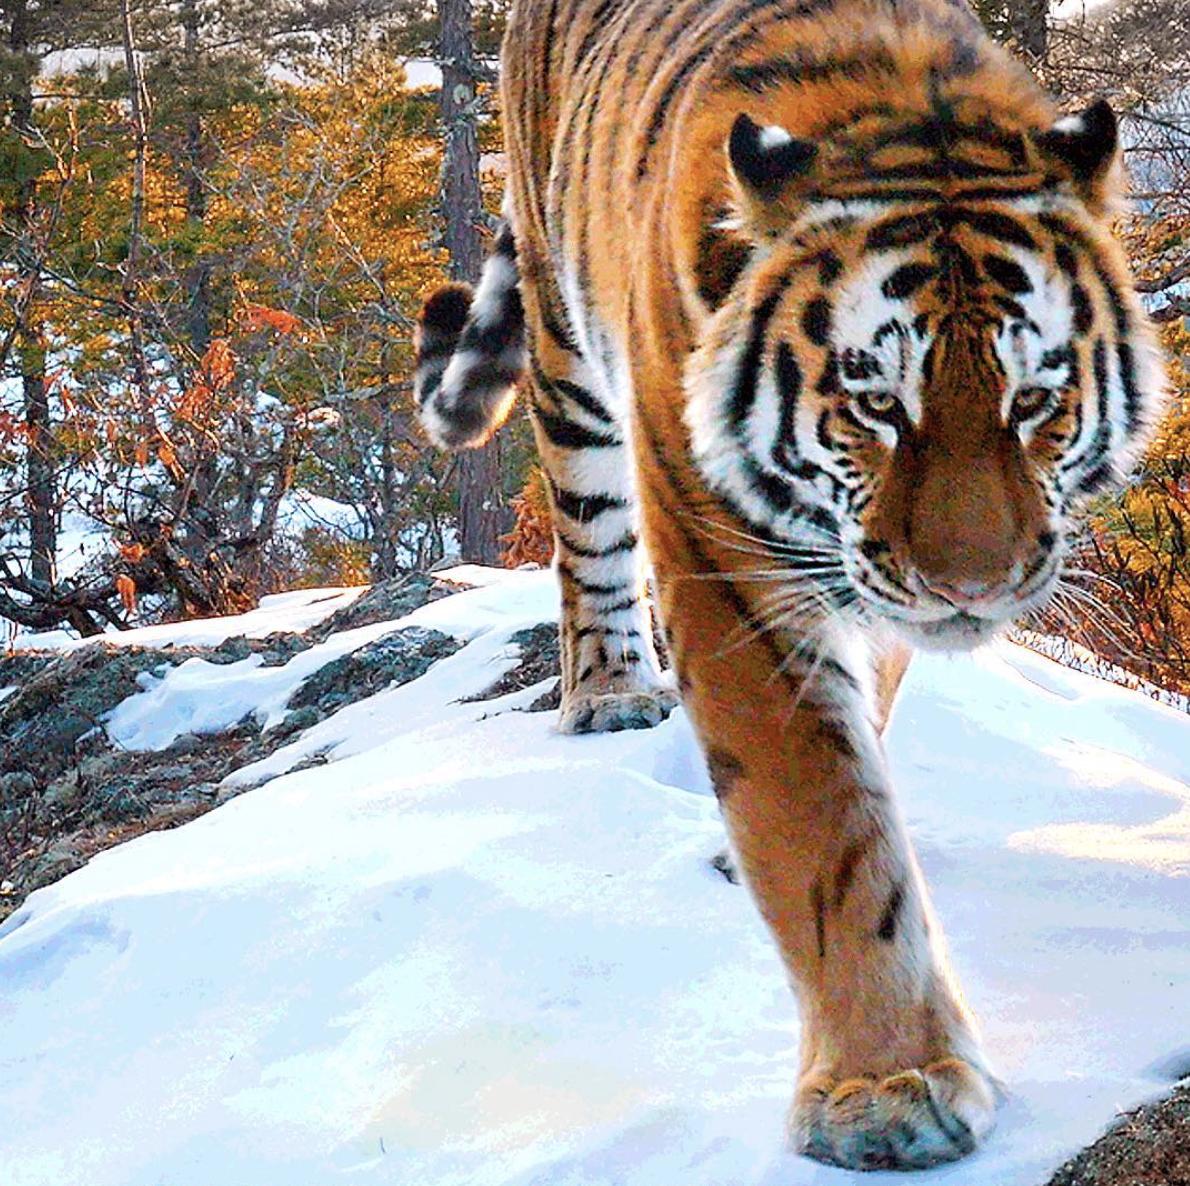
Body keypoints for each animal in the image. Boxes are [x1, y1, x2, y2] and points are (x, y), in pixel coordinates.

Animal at [414, 0, 1166, 1170]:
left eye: (1034, 400)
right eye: (876, 404)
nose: (972, 586)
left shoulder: (875, 588)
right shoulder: (730, 569)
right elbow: (824, 828)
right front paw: (885, 1087)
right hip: (568, 361)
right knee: (588, 544)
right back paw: (609, 690)